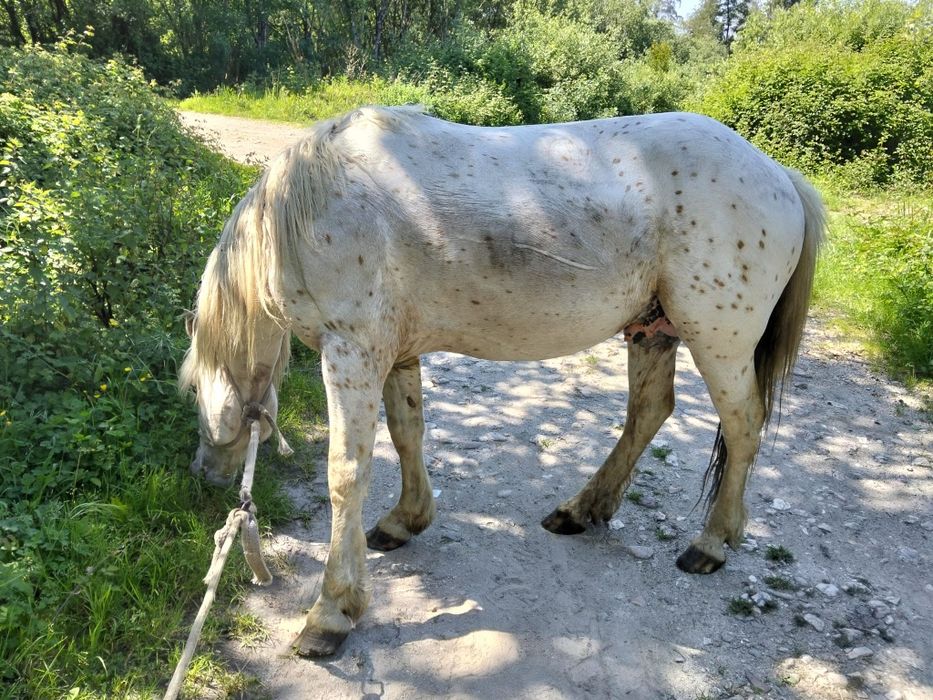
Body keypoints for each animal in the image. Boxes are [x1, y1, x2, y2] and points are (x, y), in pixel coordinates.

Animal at [179, 105, 825, 657]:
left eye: (195, 400)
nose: (202, 475)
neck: (309, 209)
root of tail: (780, 176)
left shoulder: (352, 354)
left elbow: (346, 474)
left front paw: (331, 613)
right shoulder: (395, 355)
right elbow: (407, 434)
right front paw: (404, 520)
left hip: (721, 343)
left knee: (742, 428)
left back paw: (710, 544)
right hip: (652, 331)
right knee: (649, 413)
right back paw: (581, 509)